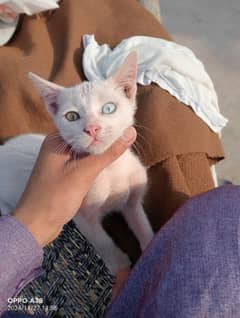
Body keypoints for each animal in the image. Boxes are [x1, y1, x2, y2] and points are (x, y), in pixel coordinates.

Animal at [0, 52, 154, 274]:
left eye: (109, 108)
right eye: (72, 116)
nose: (92, 128)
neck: (109, 170)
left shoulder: (132, 200)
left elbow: (141, 224)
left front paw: (150, 245)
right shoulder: (81, 214)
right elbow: (101, 240)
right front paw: (119, 264)